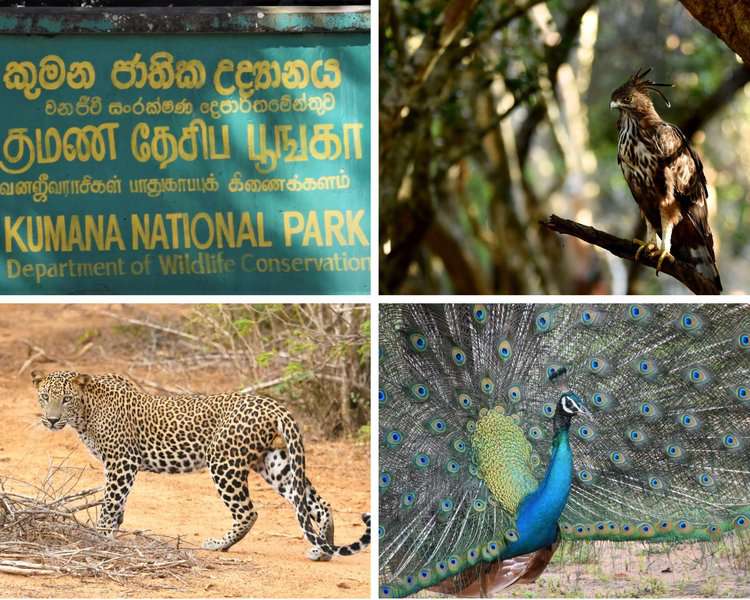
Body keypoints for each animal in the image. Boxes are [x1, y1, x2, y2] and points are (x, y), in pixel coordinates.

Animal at [32, 370, 374, 556]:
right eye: (45, 397)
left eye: (66, 399)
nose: (51, 420)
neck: (86, 413)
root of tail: (271, 403)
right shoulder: (121, 466)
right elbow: (118, 505)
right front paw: (112, 533)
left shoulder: (121, 461)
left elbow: (111, 503)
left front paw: (101, 537)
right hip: (274, 462)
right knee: (315, 503)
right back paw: (322, 548)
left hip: (223, 461)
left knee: (248, 512)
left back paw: (218, 545)